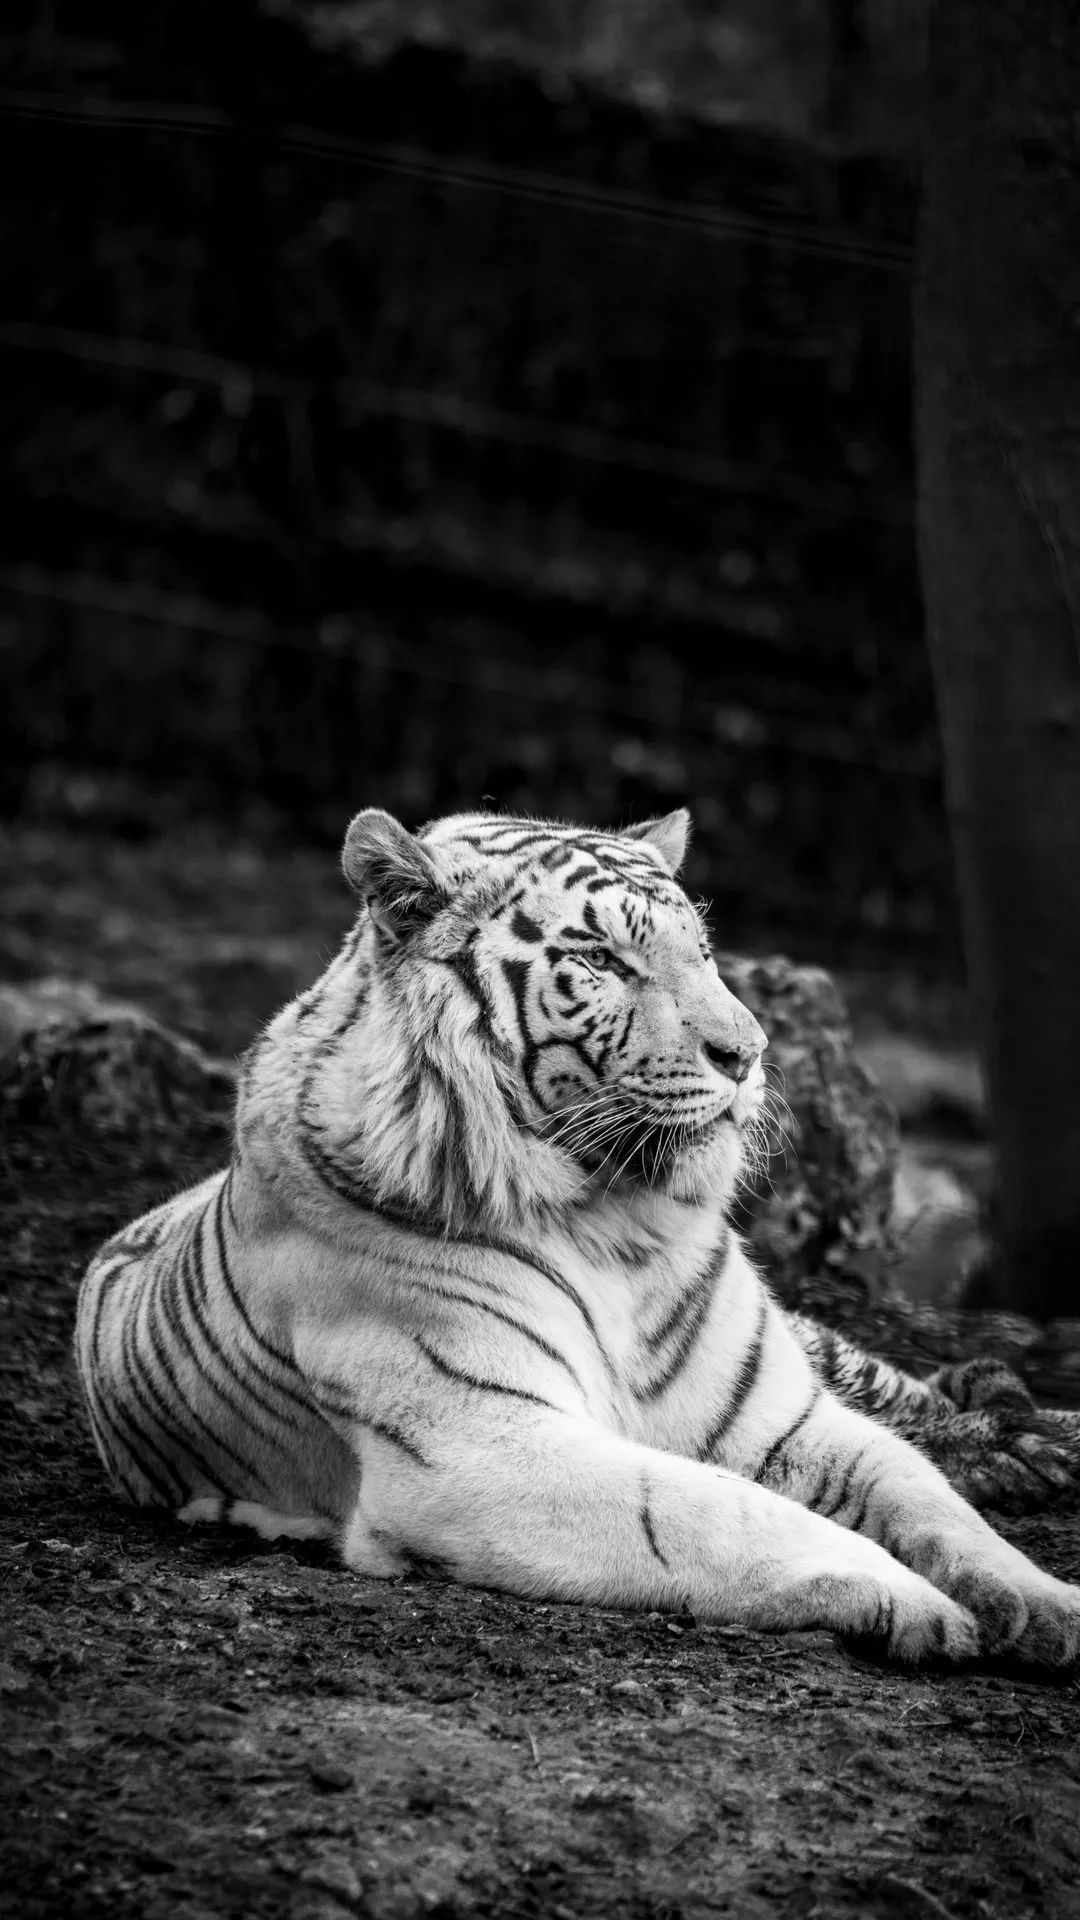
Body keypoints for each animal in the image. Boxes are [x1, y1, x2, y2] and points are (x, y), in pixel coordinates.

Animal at [75, 806, 1080, 1668]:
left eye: (703, 952)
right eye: (602, 960)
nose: (749, 1053)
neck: (620, 1223)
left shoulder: (781, 1415)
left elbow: (923, 1494)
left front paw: (1045, 1601)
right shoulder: (480, 1446)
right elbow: (724, 1511)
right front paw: (918, 1605)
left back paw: (1035, 1438)